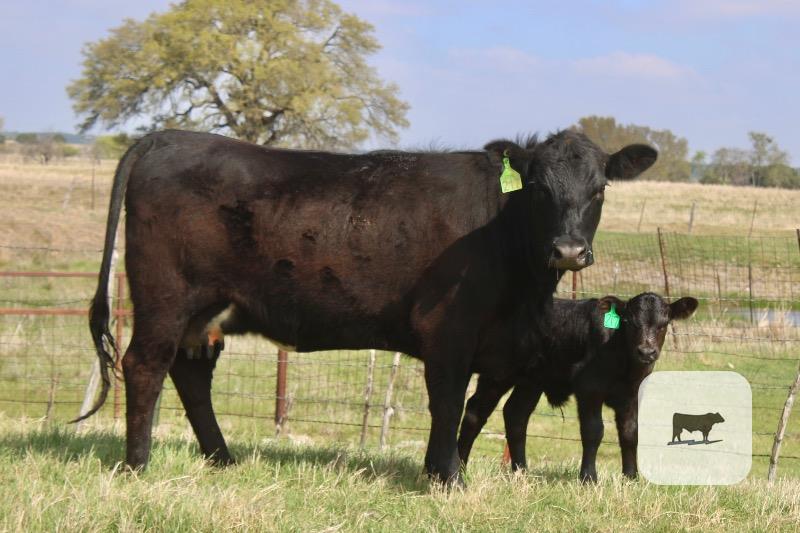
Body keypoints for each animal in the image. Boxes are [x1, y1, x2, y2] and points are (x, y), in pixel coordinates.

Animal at [81, 129, 656, 485]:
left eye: (600, 189)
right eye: (537, 188)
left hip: (206, 313)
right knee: (145, 366)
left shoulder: (498, 351)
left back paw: (222, 459)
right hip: (166, 298)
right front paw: (446, 478)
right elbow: (448, 403)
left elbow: (468, 410)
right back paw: (137, 466)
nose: (569, 250)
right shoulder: (449, 330)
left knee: (191, 374)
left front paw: (441, 471)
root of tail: (172, 136)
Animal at [457, 292, 698, 482]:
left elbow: (630, 432)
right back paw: (460, 467)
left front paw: (631, 477)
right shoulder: (589, 389)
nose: (646, 352)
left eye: (664, 323)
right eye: (629, 322)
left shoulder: (632, 395)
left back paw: (521, 472)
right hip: (497, 375)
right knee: (475, 412)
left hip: (531, 380)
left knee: (516, 414)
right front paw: (588, 478)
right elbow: (593, 431)